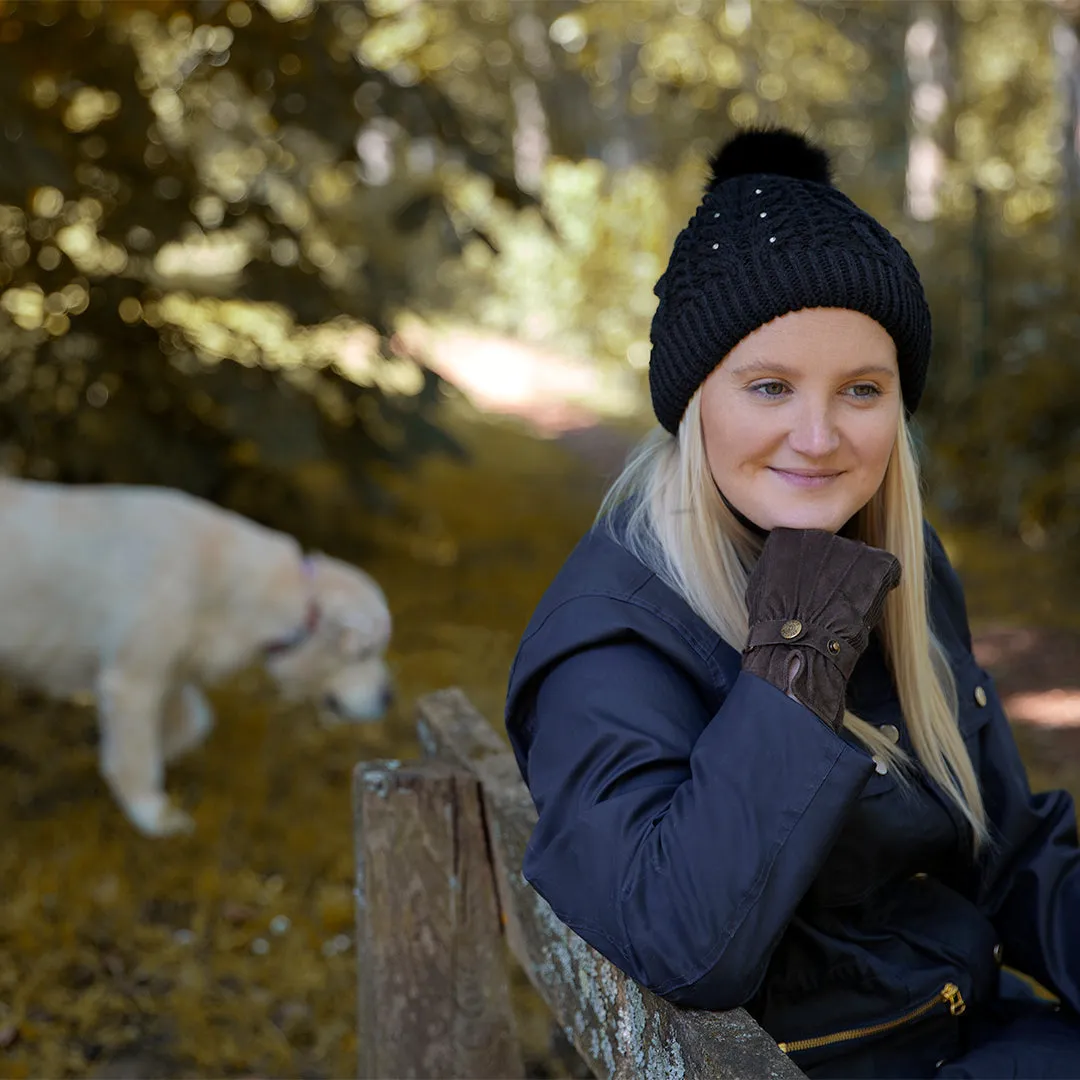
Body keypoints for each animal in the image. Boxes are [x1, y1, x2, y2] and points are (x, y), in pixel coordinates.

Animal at [0, 477, 393, 838]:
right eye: (365, 651)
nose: (389, 697)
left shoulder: (173, 674)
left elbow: (192, 725)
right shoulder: (132, 681)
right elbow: (138, 757)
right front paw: (154, 815)